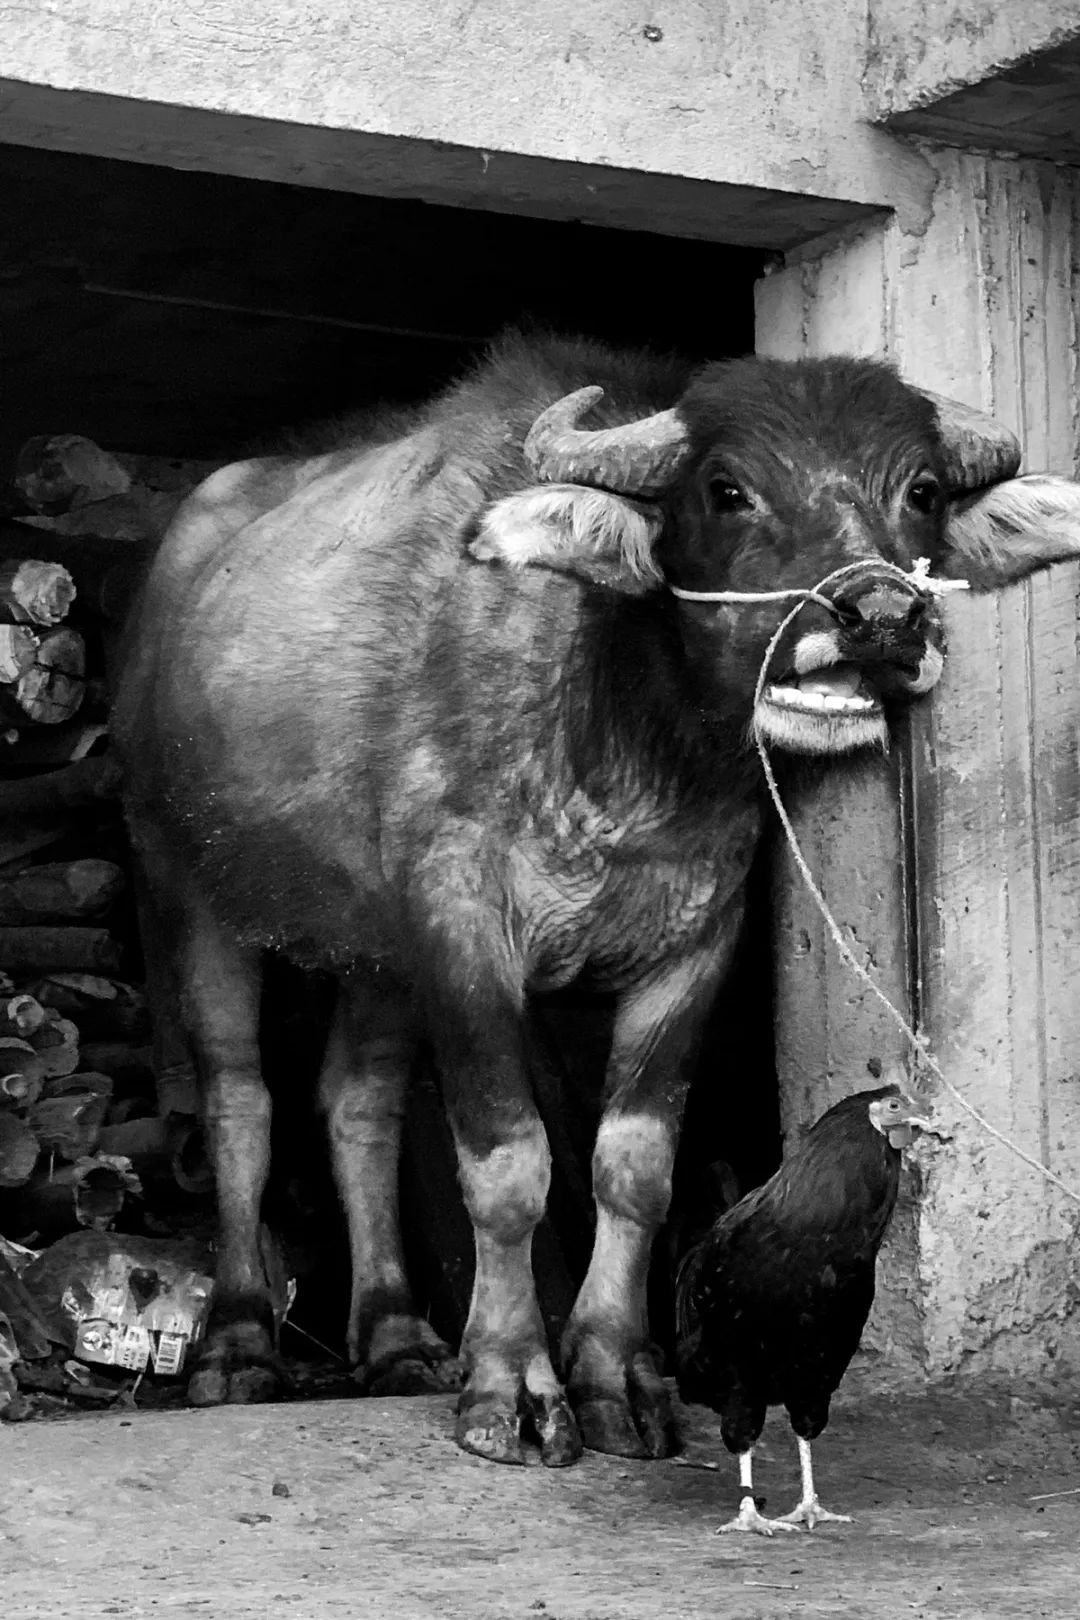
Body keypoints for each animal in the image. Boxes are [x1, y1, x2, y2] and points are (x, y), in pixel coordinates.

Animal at [114, 328, 1068, 1470]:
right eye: (726, 488)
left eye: (920, 488)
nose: (881, 617)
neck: (622, 747)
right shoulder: (464, 932)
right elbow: (509, 1164)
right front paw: (513, 1385)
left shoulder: (694, 945)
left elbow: (637, 1165)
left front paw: (617, 1372)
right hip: (187, 885)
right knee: (240, 1101)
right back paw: (239, 1341)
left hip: (378, 951)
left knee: (360, 1102)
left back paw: (395, 1334)